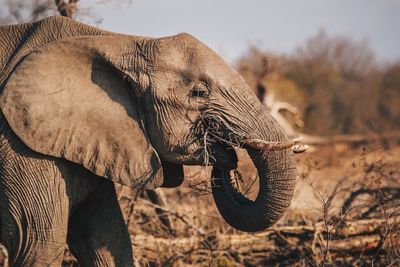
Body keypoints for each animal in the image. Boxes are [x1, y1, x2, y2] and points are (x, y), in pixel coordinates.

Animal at [0, 16, 298, 266]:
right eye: (199, 93)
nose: (227, 154)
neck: (118, 41)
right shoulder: (19, 147)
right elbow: (38, 246)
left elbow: (107, 239)